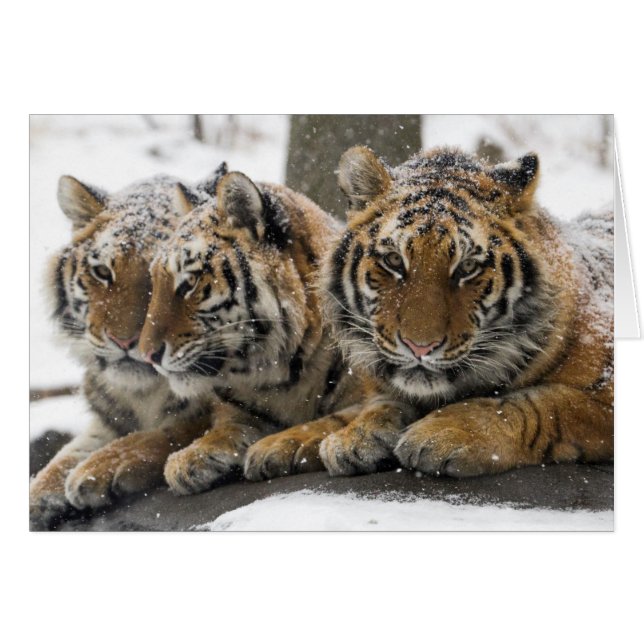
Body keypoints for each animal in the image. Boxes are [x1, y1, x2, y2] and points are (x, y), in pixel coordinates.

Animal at [29, 165, 227, 529]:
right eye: (102, 272)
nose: (124, 341)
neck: (144, 393)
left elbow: (174, 430)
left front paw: (101, 468)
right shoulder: (107, 417)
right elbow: (67, 452)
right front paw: (40, 493)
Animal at [138, 171, 364, 494]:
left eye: (189, 283)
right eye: (156, 282)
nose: (147, 355)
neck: (285, 375)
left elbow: (338, 418)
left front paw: (278, 444)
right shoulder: (241, 410)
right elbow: (227, 427)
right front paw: (188, 458)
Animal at [307, 145, 613, 478]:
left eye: (467, 267)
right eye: (393, 260)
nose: (419, 347)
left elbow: (542, 404)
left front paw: (444, 433)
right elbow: (380, 402)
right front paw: (354, 437)